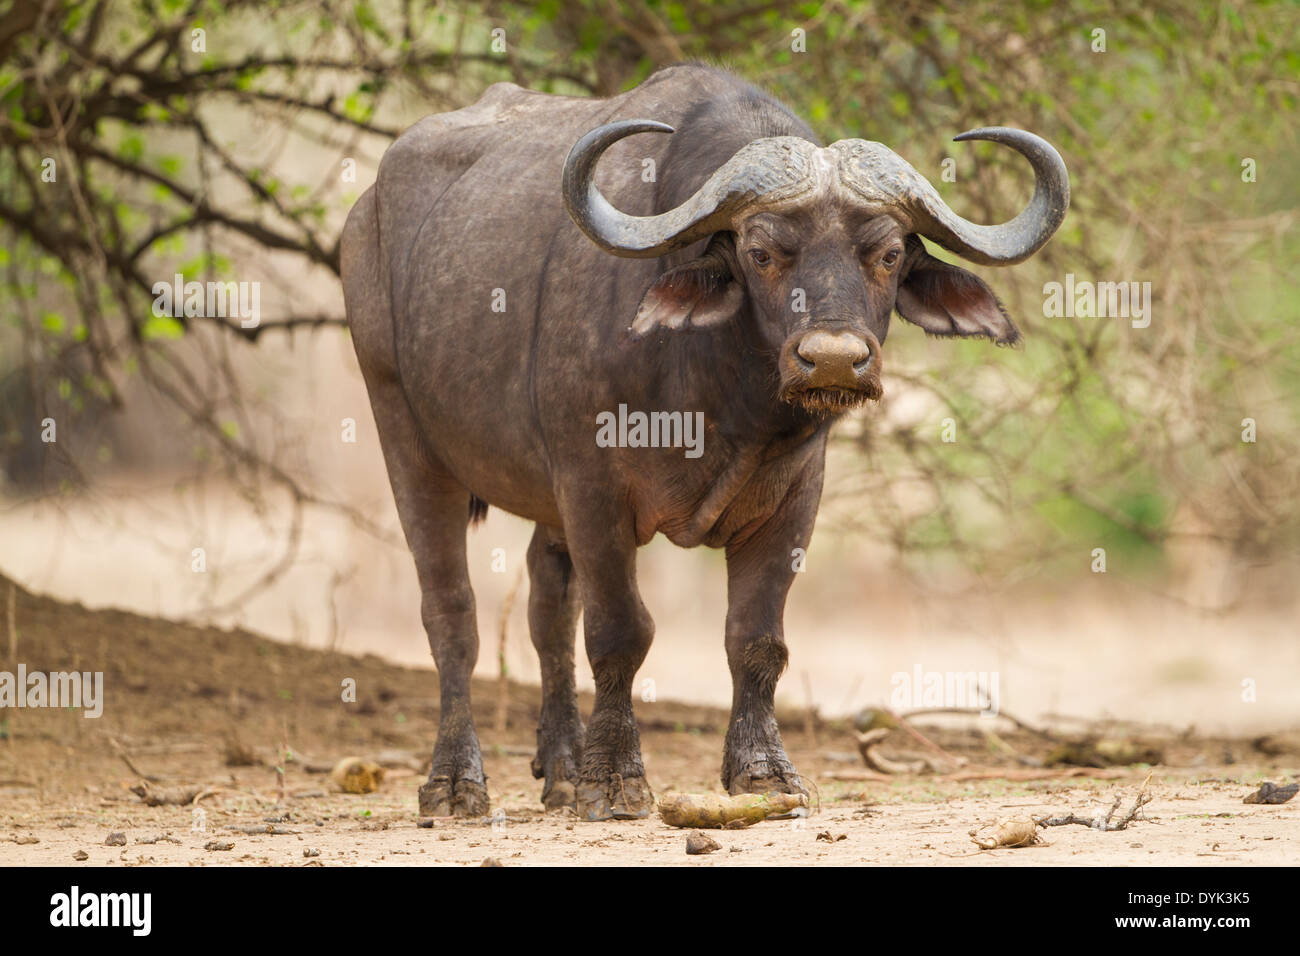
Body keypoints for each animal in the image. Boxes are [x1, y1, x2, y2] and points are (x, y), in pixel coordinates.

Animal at [340, 61, 1071, 822]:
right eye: (761, 252)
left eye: (889, 253)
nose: (833, 360)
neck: (720, 396)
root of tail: (366, 214)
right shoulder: (591, 485)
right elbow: (619, 632)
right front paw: (615, 780)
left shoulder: (795, 497)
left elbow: (755, 638)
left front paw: (762, 770)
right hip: (406, 436)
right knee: (452, 614)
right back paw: (456, 782)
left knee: (547, 605)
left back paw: (562, 768)